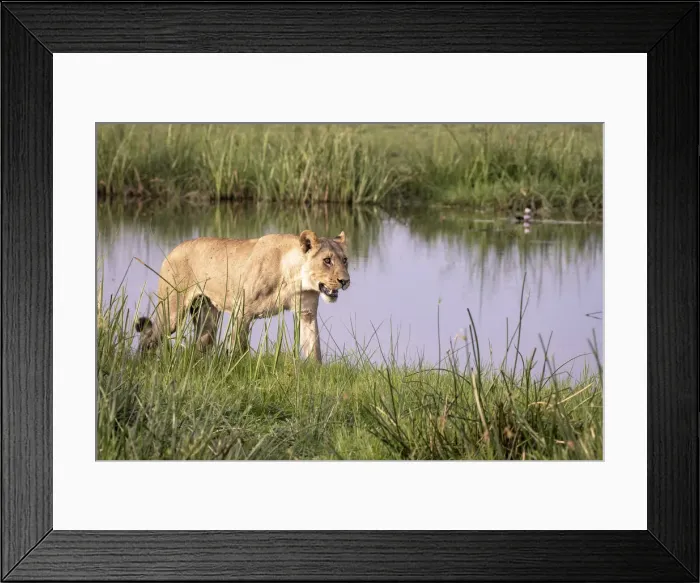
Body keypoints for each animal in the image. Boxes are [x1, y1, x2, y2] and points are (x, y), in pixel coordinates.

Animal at [135, 230, 350, 363]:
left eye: (345, 260)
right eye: (327, 260)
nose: (345, 281)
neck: (294, 276)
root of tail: (175, 248)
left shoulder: (307, 313)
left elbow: (314, 348)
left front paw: (316, 373)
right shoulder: (242, 311)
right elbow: (239, 348)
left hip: (207, 317)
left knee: (200, 344)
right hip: (173, 311)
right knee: (149, 334)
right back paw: (142, 361)